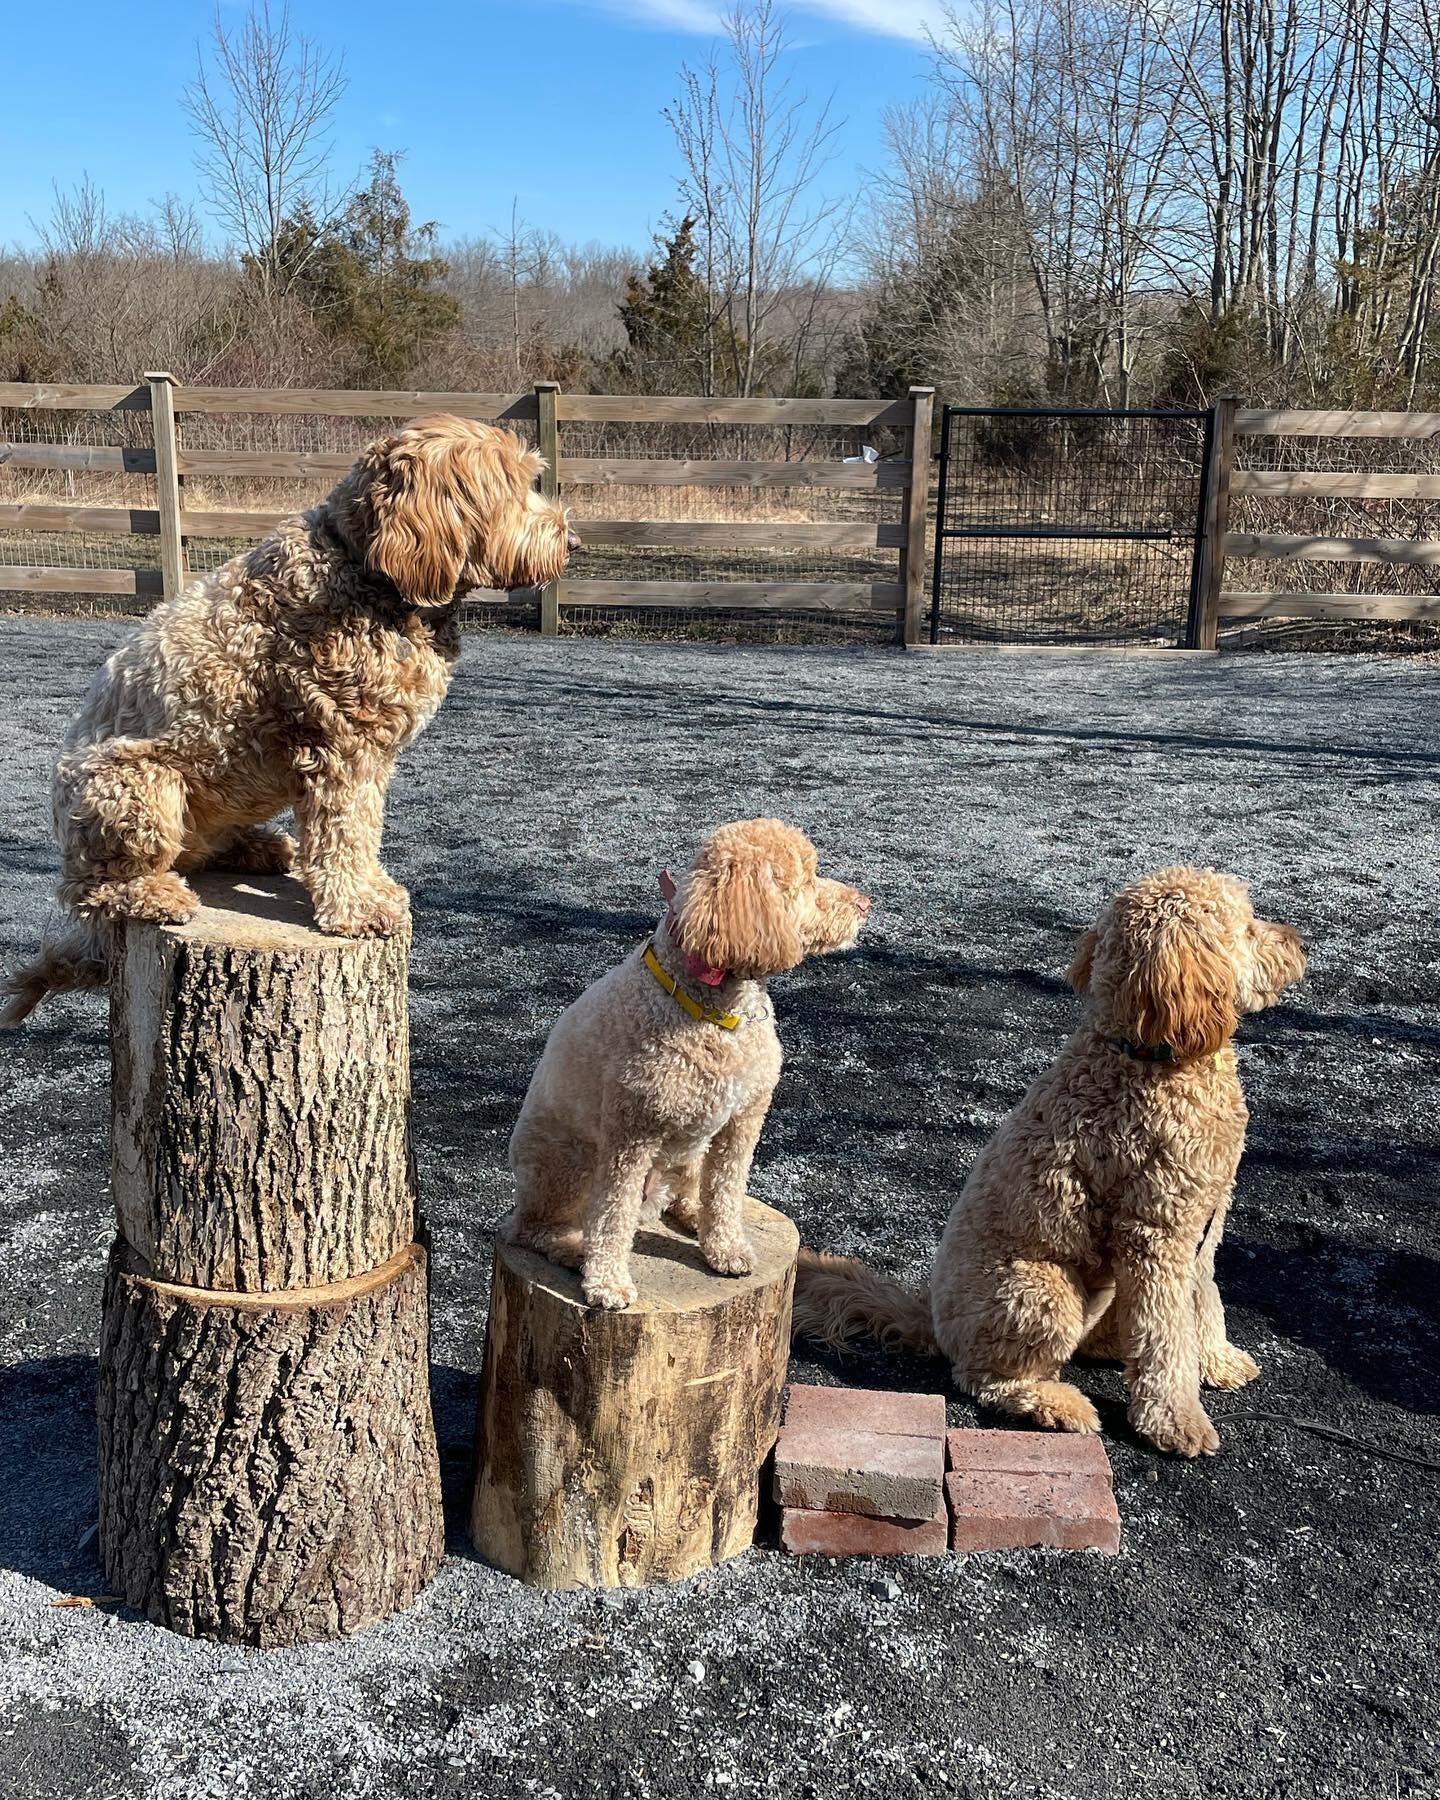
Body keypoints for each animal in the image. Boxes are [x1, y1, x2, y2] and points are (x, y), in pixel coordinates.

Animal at [1, 412, 572, 1029]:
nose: (573, 540)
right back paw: (155, 893)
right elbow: (345, 833)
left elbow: (365, 830)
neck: (367, 571)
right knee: (94, 888)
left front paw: (374, 887)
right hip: (136, 788)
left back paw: (261, 848)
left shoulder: (370, 755)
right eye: (511, 487)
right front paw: (357, 907)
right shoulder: (339, 749)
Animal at [500, 817, 871, 1310]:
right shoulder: (630, 1136)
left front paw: (725, 1246)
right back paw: (575, 1251)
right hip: (568, 1165)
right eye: (807, 878)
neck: (718, 1013)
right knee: (538, 1228)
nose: (865, 903)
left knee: (692, 1187)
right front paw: (608, 1283)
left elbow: (727, 1189)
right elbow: (613, 1217)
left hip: (691, 1145)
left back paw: (693, 1211)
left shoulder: (744, 1119)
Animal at [792, 871, 1310, 1461]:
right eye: (1247, 928)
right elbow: (1165, 1331)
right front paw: (1175, 1420)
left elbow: (1205, 1300)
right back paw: (1057, 1403)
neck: (1141, 1054)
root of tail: (932, 1320)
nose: (1299, 943)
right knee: (987, 1378)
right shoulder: (1157, 1233)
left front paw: (1216, 1361)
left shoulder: (1205, 1222)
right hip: (1042, 1291)